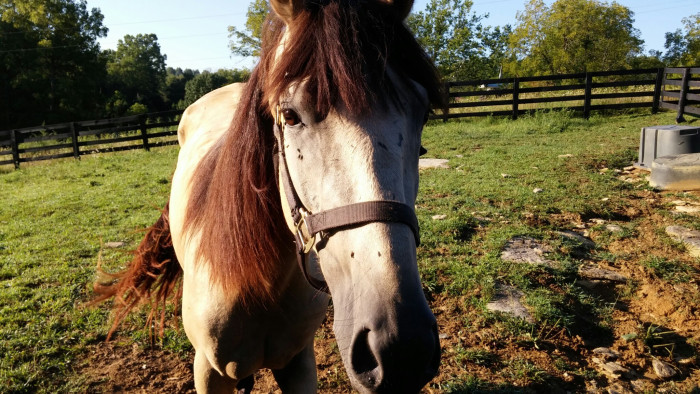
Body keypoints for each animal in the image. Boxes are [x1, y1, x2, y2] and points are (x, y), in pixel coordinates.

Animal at [94, 0, 442, 390]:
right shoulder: (208, 371)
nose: (402, 347)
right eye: (289, 115)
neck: (260, 285)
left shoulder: (299, 363)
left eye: (422, 113)